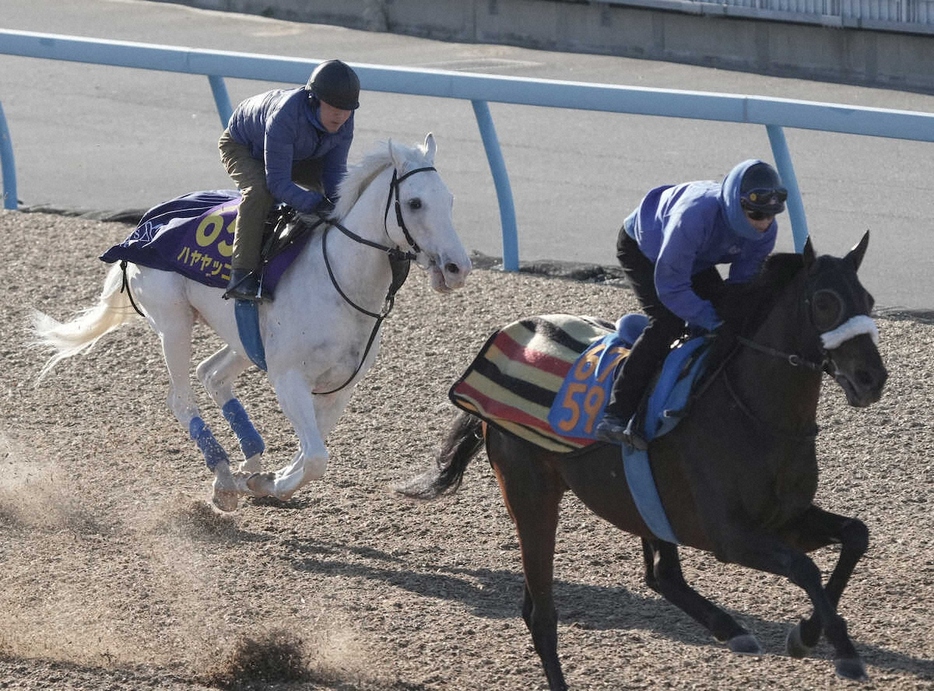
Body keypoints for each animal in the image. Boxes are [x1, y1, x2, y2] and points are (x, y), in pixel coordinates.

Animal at [33, 135, 472, 510]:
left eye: (451, 200)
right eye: (414, 203)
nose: (457, 268)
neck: (341, 283)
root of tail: (144, 224)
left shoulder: (340, 388)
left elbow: (311, 452)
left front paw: (265, 479)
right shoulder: (288, 378)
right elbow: (316, 457)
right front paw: (267, 482)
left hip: (243, 339)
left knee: (211, 374)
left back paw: (250, 462)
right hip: (173, 323)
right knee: (181, 397)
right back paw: (226, 478)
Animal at [398, 234, 888, 691]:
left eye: (868, 300)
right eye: (825, 301)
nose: (872, 378)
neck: (753, 412)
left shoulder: (785, 519)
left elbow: (855, 535)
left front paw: (807, 634)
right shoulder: (729, 536)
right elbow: (804, 567)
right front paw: (843, 652)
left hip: (640, 502)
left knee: (660, 574)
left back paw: (730, 628)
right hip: (531, 495)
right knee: (542, 613)